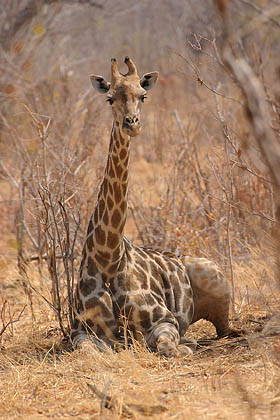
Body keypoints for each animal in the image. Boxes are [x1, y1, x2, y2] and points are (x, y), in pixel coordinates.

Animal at [70, 56, 238, 358]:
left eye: (143, 96)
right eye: (110, 98)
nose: (132, 124)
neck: (108, 257)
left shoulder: (165, 320)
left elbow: (169, 348)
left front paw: (187, 343)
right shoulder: (80, 331)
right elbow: (89, 351)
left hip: (215, 280)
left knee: (224, 330)